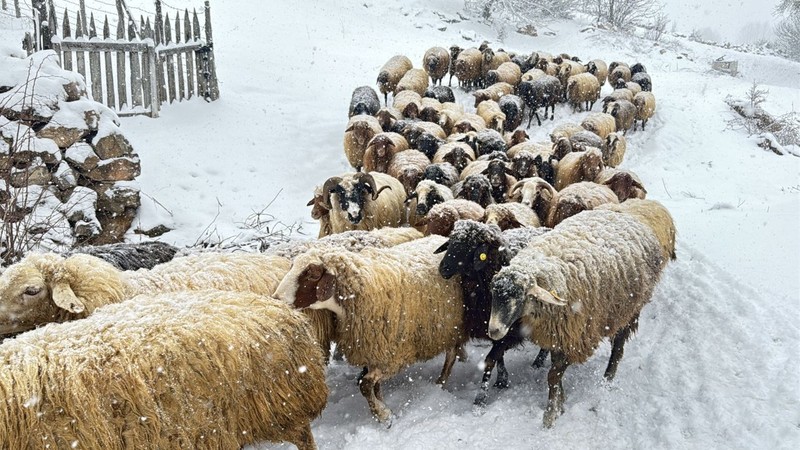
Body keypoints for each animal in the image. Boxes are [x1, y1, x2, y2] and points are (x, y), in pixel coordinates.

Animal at [272, 236, 466, 426]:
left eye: (312, 274)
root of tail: (440, 237)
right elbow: (373, 386)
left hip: (452, 326)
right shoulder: (373, 350)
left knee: (450, 354)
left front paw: (383, 414)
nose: (276, 299)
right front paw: (382, 404)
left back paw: (440, 383)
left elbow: (364, 385)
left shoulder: (391, 355)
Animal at [438, 221, 552, 408]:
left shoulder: (510, 329)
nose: (443, 268)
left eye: (470, 246)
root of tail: (547, 228)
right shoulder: (491, 325)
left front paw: (481, 398)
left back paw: (539, 361)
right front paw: (502, 379)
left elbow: (490, 359)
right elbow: (498, 357)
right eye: (451, 241)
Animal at [490, 209, 672, 428]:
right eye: (493, 294)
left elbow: (553, 375)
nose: (493, 330)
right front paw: (561, 402)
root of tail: (630, 216)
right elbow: (555, 370)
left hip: (628, 311)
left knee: (618, 349)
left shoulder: (578, 339)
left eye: (519, 297)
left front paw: (550, 415)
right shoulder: (558, 335)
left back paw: (607, 380)